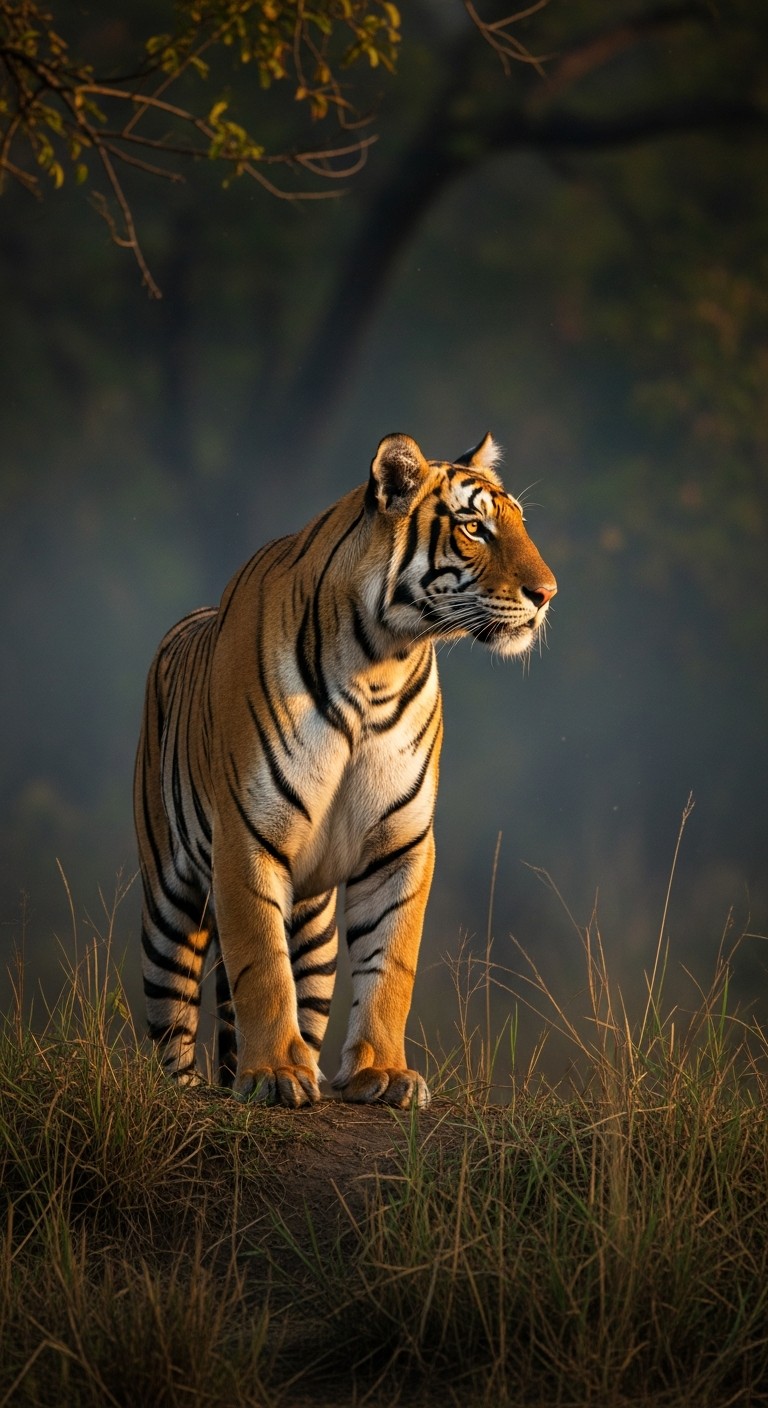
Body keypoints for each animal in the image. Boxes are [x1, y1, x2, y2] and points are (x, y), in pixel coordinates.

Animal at [134, 431, 556, 1108]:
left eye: (518, 522)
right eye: (473, 527)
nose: (548, 594)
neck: (380, 661)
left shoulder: (402, 842)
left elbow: (391, 964)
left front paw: (381, 1074)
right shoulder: (246, 834)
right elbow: (260, 963)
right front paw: (274, 1076)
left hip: (313, 925)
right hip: (169, 903)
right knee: (173, 1014)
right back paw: (190, 1086)